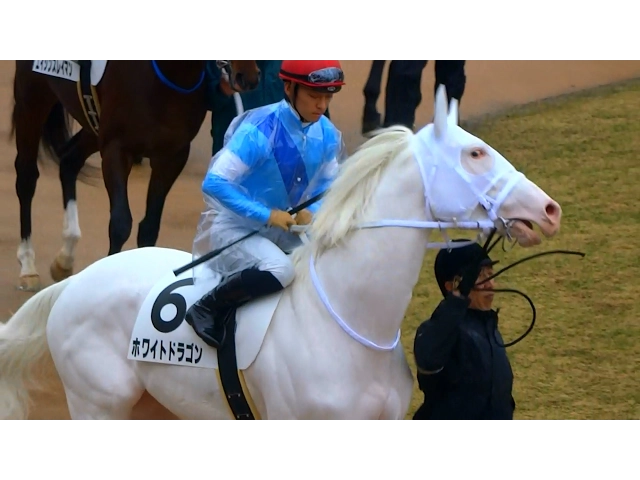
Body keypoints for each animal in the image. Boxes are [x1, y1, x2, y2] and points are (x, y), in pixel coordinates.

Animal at [10, 60, 261, 293]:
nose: (248, 76)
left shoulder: (172, 156)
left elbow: (149, 226)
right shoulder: (116, 150)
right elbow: (120, 224)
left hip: (93, 125)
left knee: (69, 162)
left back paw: (65, 258)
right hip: (32, 98)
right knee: (27, 178)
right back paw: (28, 265)